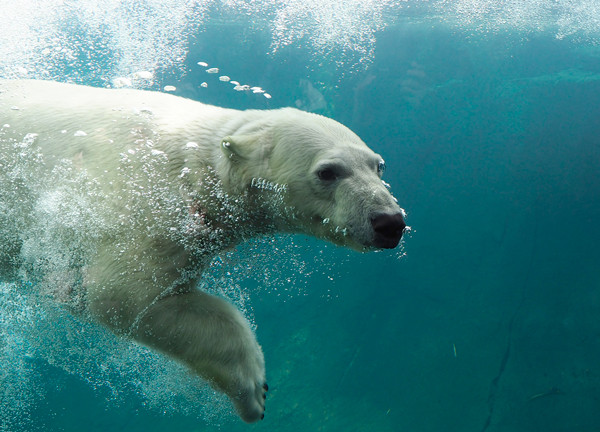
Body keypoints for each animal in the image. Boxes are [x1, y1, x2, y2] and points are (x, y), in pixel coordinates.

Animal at [0, 79, 406, 424]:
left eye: (379, 165)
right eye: (328, 171)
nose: (389, 221)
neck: (192, 165)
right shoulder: (146, 205)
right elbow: (122, 294)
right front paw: (254, 391)